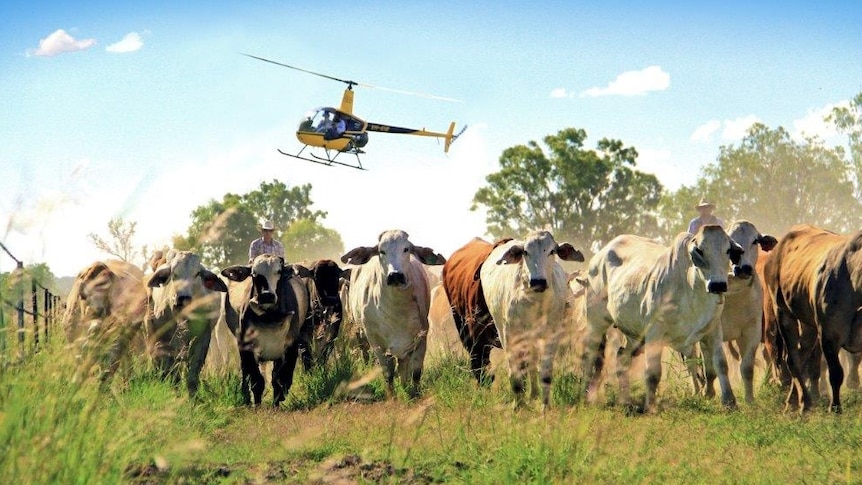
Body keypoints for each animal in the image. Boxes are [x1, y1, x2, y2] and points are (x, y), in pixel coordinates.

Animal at [145, 250, 228, 398]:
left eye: (197, 273)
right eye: (174, 273)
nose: (182, 298)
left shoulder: (203, 337)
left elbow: (193, 372)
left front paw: (193, 397)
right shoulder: (165, 340)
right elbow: (171, 372)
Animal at [340, 230, 446, 398]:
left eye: (406, 249)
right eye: (381, 251)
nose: (395, 275)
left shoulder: (421, 338)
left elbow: (415, 372)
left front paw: (414, 393)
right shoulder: (376, 342)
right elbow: (388, 373)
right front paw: (392, 397)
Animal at [480, 231, 588, 408]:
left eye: (552, 251)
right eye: (525, 252)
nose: (538, 282)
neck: (535, 303)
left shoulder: (551, 336)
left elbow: (545, 374)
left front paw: (545, 407)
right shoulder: (511, 335)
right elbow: (515, 373)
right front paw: (518, 406)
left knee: (532, 363)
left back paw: (534, 394)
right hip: (503, 330)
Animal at [584, 226, 744, 412]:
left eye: (728, 250)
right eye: (700, 250)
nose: (717, 285)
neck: (691, 288)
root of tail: (599, 255)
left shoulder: (713, 330)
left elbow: (721, 364)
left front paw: (730, 401)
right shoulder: (655, 332)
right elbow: (653, 373)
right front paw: (651, 407)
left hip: (635, 336)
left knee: (622, 358)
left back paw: (625, 400)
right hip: (596, 323)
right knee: (589, 357)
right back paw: (585, 395)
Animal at [764, 224, 862, 412]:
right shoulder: (829, 334)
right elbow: (836, 373)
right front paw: (835, 409)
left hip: (808, 324)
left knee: (803, 356)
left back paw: (794, 401)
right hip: (783, 312)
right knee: (793, 360)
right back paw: (804, 404)